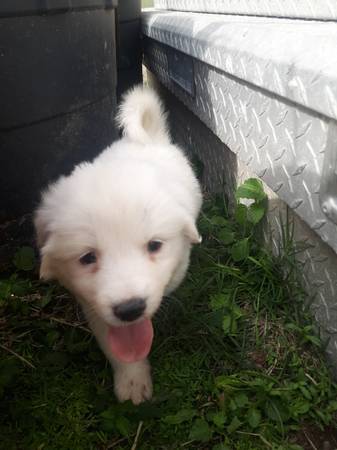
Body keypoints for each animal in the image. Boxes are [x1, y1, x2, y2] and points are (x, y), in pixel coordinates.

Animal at [34, 86, 201, 406]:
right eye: (87, 257)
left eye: (154, 246)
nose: (130, 309)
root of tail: (146, 139)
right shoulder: (91, 303)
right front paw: (132, 380)